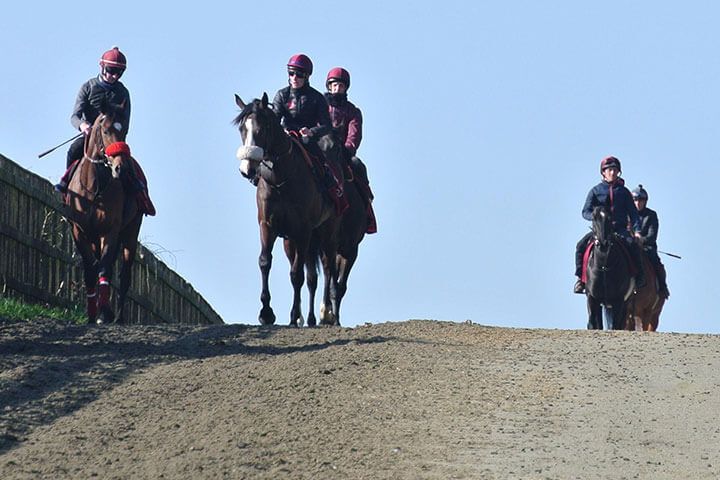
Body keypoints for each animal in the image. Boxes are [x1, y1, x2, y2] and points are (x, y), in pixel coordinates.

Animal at [65, 101, 143, 326]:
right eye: (106, 130)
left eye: (124, 130)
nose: (121, 168)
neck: (94, 188)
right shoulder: (79, 231)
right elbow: (90, 269)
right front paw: (92, 314)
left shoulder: (110, 231)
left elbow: (104, 268)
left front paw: (104, 313)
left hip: (131, 231)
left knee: (125, 275)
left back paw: (118, 317)